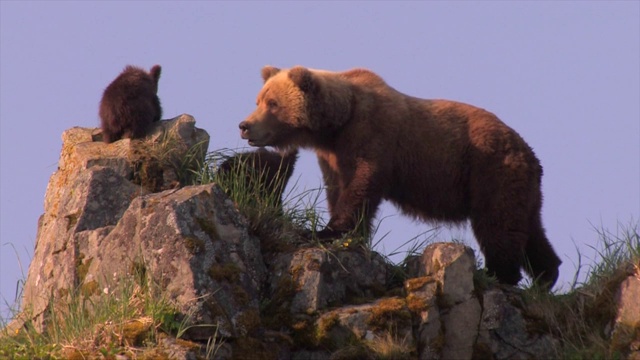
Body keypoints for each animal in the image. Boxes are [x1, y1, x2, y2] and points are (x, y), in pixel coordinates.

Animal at [238, 65, 564, 290]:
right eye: (258, 100)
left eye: (273, 103)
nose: (244, 125)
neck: (337, 122)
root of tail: (529, 153)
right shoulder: (332, 156)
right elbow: (338, 189)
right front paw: (343, 231)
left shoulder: (373, 136)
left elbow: (361, 186)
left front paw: (327, 231)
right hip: (523, 187)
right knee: (530, 228)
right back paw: (546, 275)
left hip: (491, 169)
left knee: (497, 224)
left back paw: (498, 273)